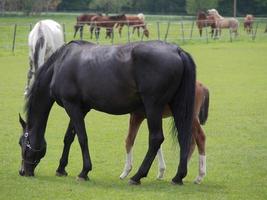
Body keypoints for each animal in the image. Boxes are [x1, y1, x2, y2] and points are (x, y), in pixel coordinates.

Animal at [17, 40, 196, 186]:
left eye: (22, 143)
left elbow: (82, 138)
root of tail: (177, 51)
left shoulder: (72, 106)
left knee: (156, 139)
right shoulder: (80, 108)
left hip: (153, 107)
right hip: (177, 106)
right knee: (183, 136)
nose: (22, 171)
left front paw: (84, 172)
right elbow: (69, 137)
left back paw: (137, 176)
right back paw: (178, 177)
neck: (59, 65)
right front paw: (61, 168)